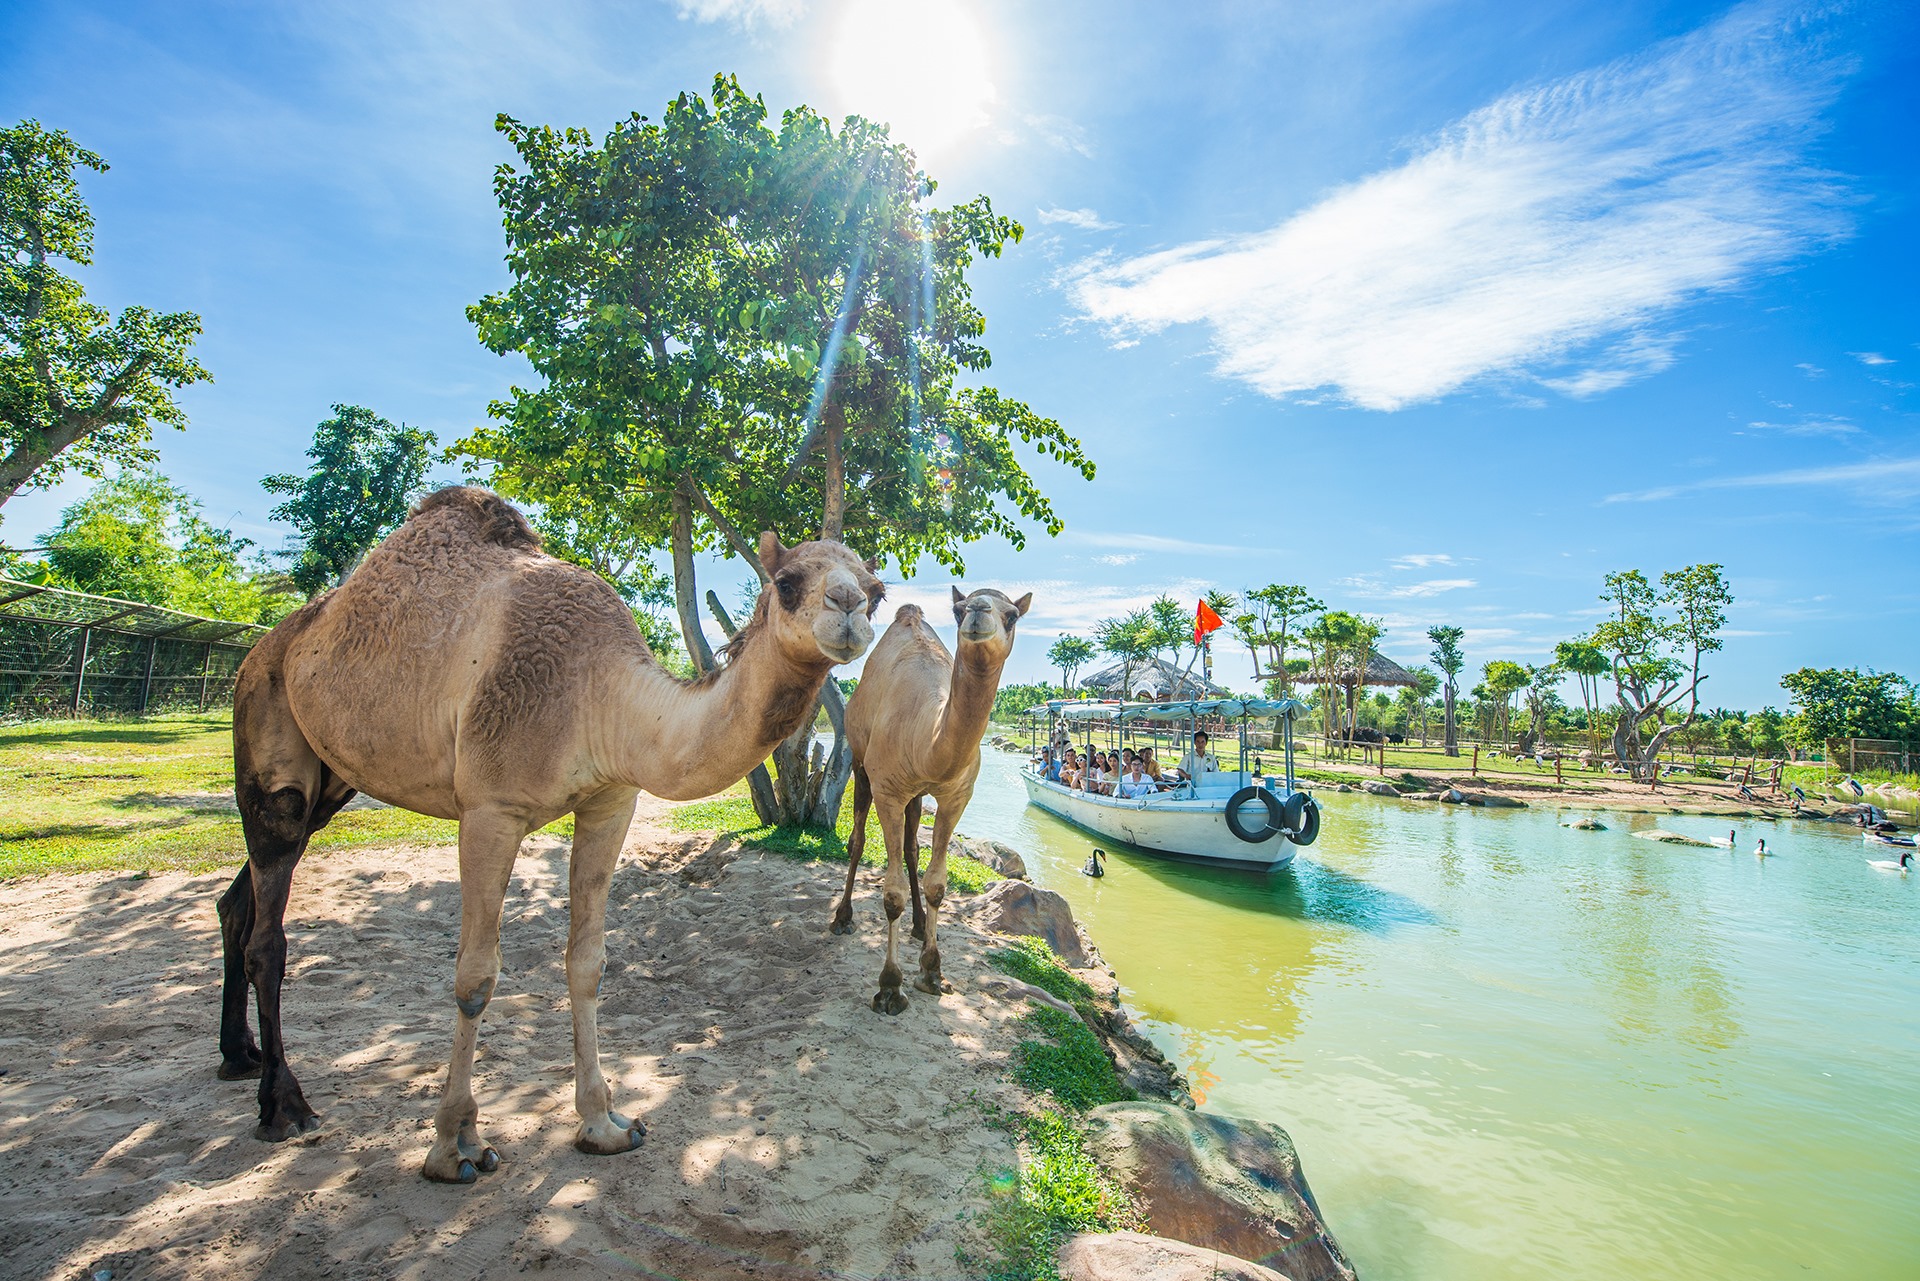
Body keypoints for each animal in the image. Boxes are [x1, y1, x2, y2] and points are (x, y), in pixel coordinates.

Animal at [219, 487, 883, 1183]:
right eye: (787, 582)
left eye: (877, 590)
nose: (847, 609)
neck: (601, 694)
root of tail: (270, 646)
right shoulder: (490, 807)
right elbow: (476, 977)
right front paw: (453, 1147)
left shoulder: (611, 801)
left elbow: (587, 962)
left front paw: (604, 1125)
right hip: (268, 741)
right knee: (269, 928)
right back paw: (284, 1107)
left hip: (331, 780)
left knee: (240, 902)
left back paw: (238, 1058)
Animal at [829, 587, 1029, 1014]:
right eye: (957, 609)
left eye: (1013, 615)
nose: (978, 611)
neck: (925, 737)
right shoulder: (888, 790)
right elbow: (891, 894)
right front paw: (890, 987)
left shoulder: (955, 796)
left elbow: (936, 882)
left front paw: (933, 972)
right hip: (860, 765)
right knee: (857, 842)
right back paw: (842, 917)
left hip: (916, 796)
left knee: (910, 849)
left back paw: (921, 927)